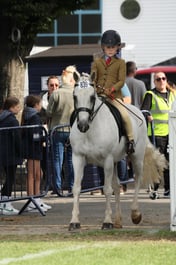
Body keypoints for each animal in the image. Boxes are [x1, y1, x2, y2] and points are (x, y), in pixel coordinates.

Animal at [69, 72, 166, 229]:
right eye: (75, 96)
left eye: (92, 97)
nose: (82, 125)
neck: (91, 130)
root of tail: (139, 111)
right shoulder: (78, 158)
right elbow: (77, 188)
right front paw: (74, 222)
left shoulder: (107, 160)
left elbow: (107, 189)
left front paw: (107, 221)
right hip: (114, 162)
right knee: (117, 185)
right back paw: (118, 221)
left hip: (136, 158)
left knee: (137, 180)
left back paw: (135, 214)